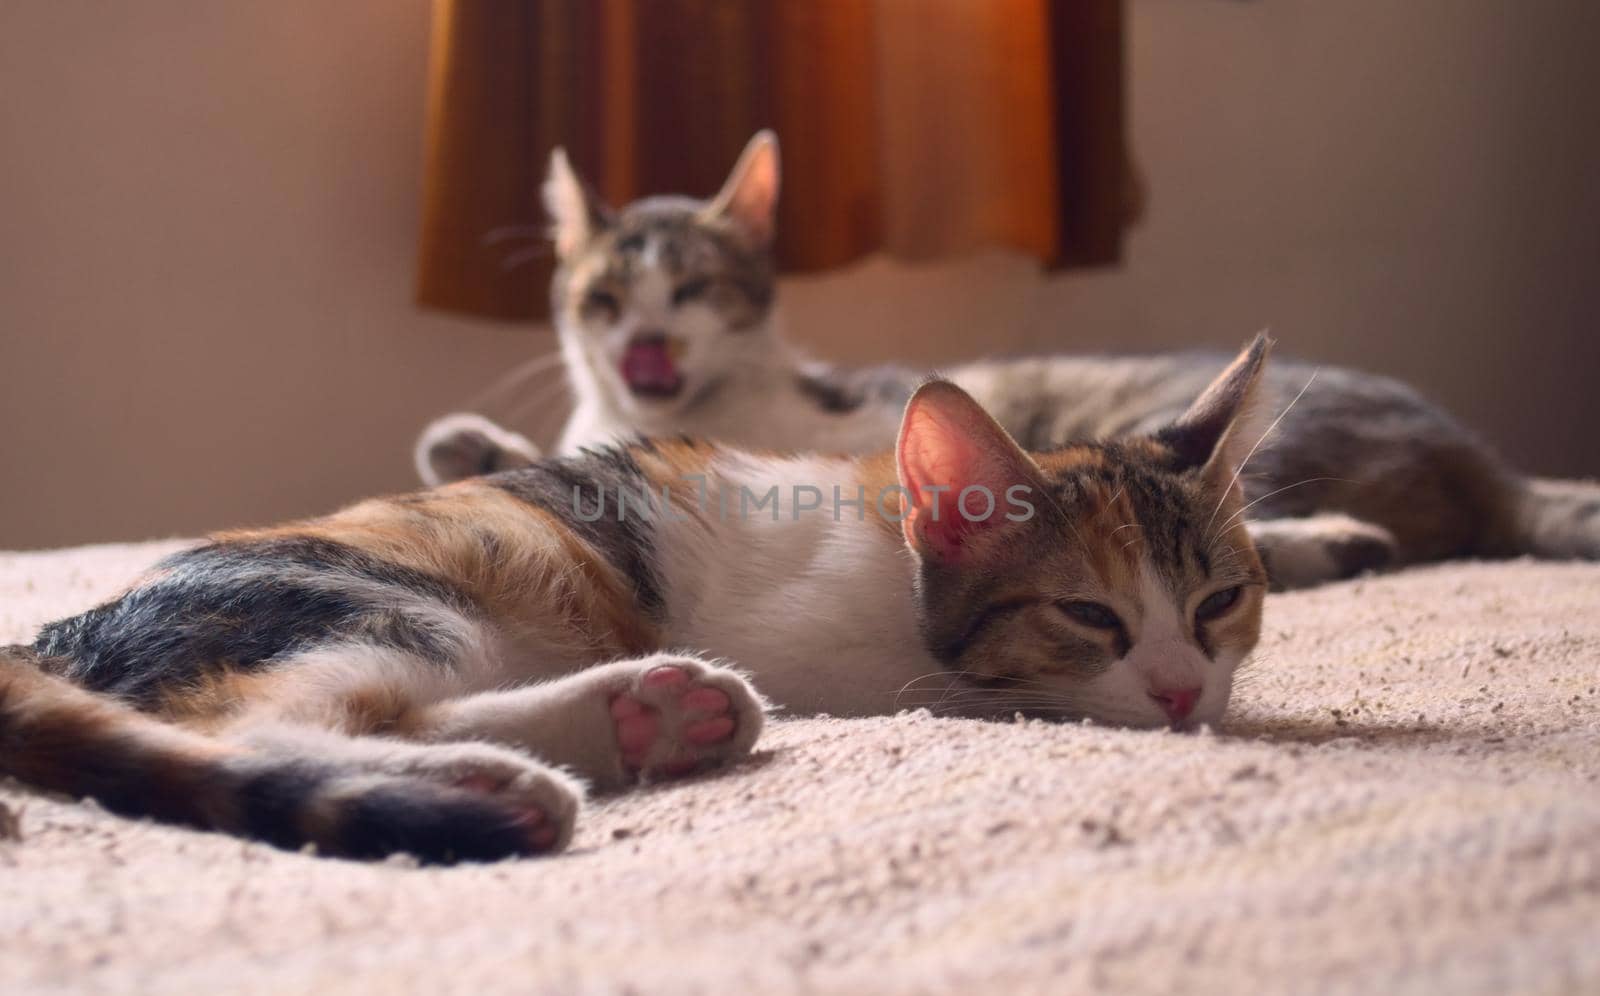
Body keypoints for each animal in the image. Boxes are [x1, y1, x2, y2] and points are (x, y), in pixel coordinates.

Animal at [3, 349, 1273, 864]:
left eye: (1219, 601)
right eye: (1090, 616)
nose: (1181, 692)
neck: (889, 556)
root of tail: (58, 630)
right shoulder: (834, 653)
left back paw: (641, 720)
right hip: (394, 599)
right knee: (265, 727)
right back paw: (498, 785)